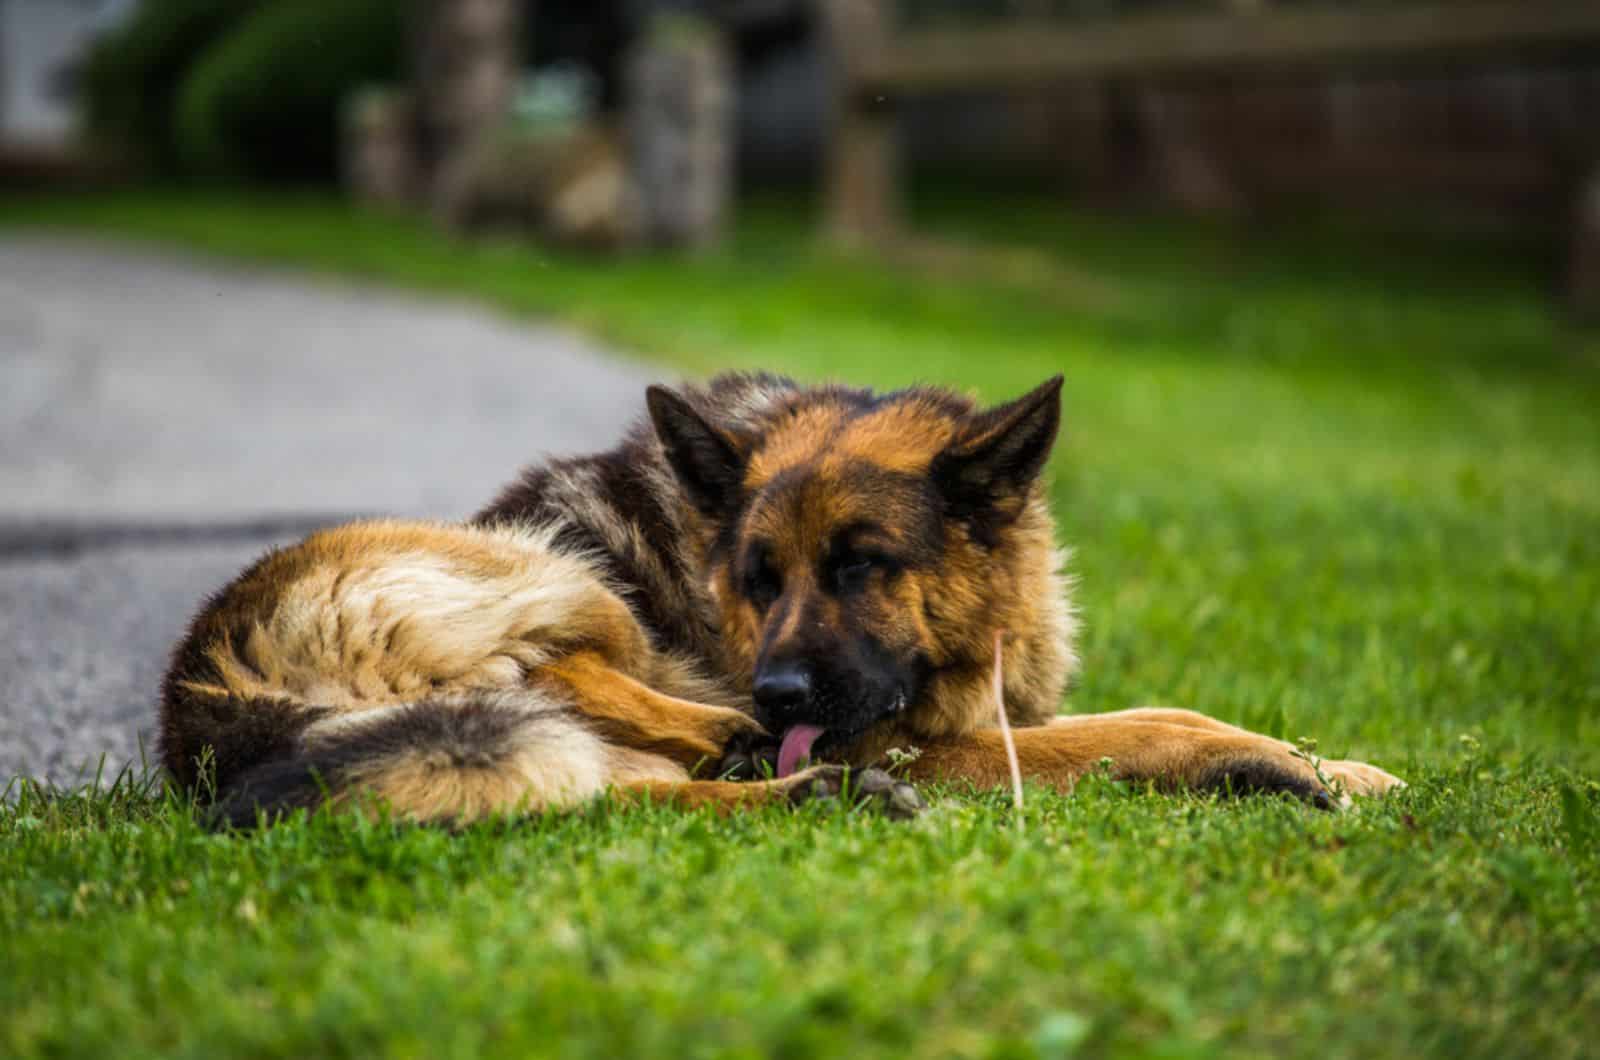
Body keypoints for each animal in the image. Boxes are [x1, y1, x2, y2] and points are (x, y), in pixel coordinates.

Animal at [156, 376, 1395, 832]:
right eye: (755, 576)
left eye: (860, 565)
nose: (782, 688)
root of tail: (203, 697)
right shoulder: (935, 736)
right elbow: (1144, 725)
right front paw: (1286, 766)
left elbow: (1155, 714)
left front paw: (1332, 764)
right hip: (542, 571)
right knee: (561, 673)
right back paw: (746, 740)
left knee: (627, 792)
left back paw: (799, 783)